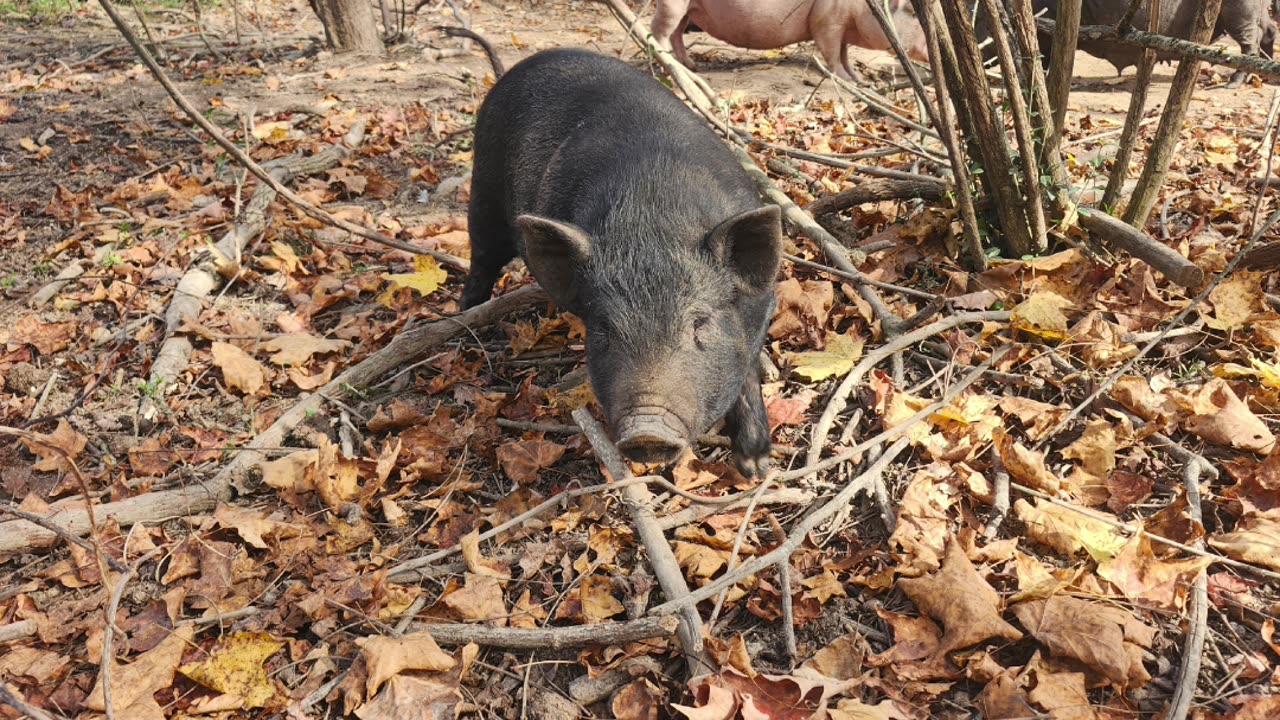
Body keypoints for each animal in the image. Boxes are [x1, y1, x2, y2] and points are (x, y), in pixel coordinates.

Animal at [460, 50, 778, 476]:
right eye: (603, 329)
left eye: (700, 323)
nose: (647, 432)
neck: (653, 218)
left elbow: (747, 372)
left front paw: (756, 468)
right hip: (483, 191)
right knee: (480, 260)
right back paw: (467, 318)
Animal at [650, 0, 931, 78]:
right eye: (912, 11)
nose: (929, 52)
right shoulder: (826, 21)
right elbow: (831, 52)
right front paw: (845, 79)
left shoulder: (841, 27)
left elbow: (844, 52)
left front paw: (859, 80)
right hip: (672, 4)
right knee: (659, 31)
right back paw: (671, 67)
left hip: (689, 8)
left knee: (676, 32)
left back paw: (692, 67)